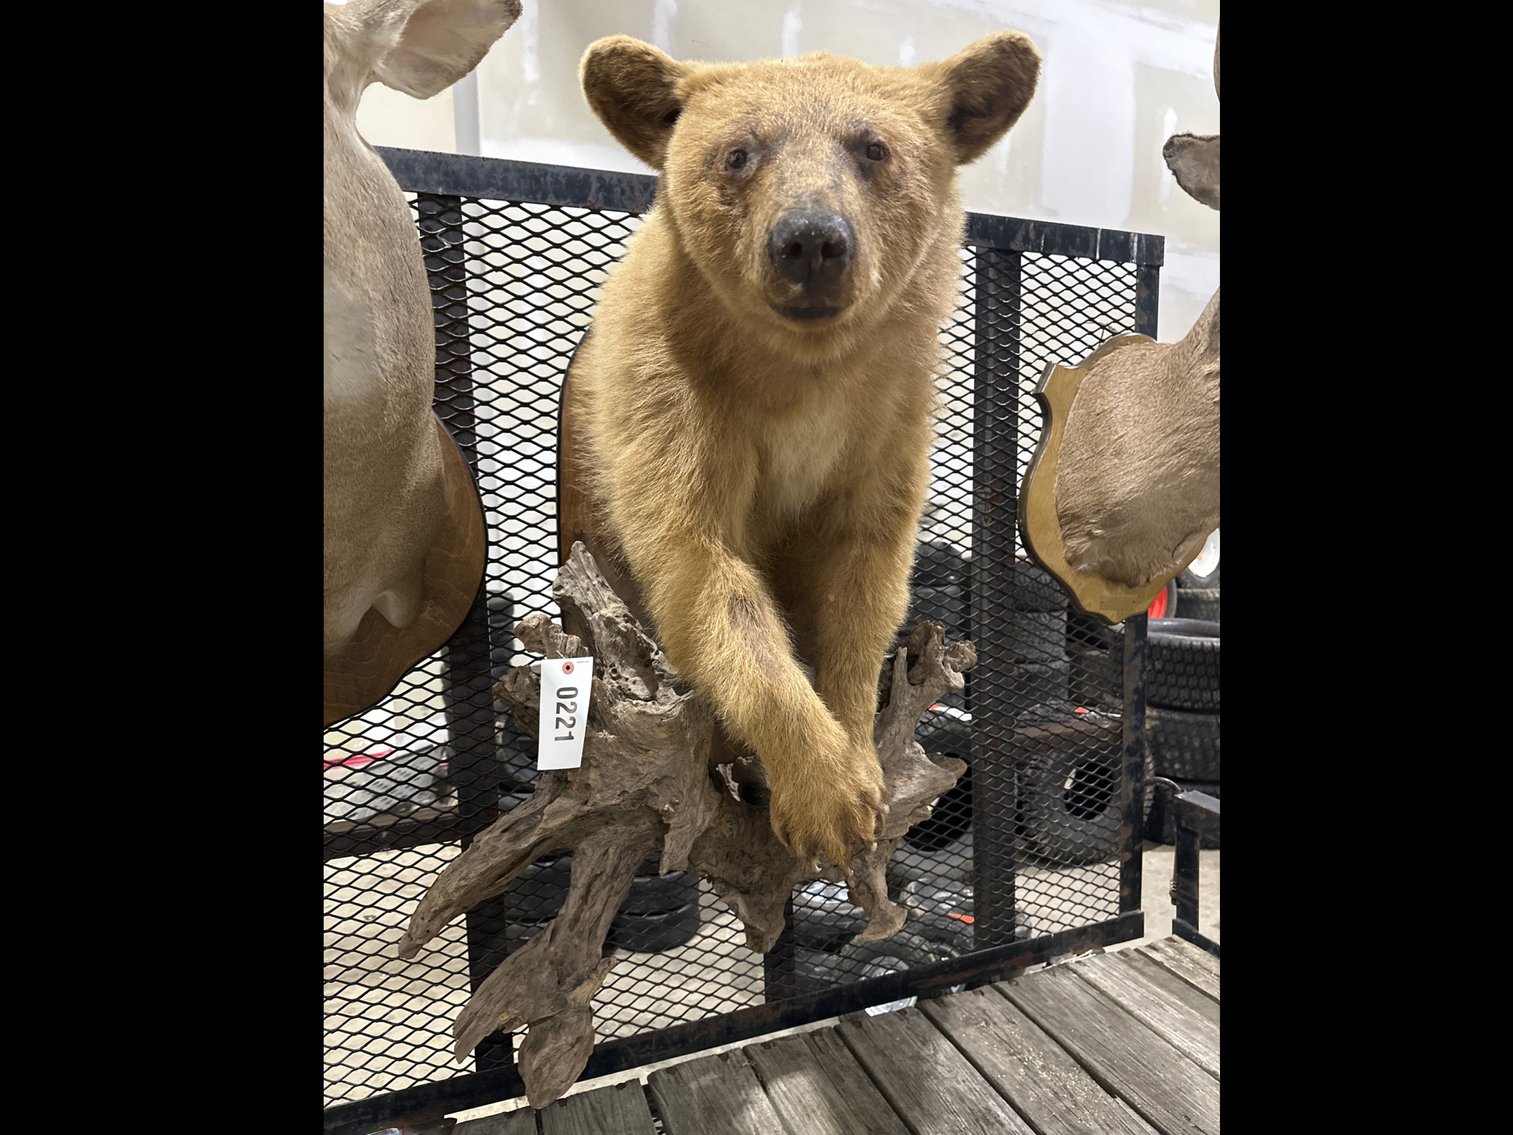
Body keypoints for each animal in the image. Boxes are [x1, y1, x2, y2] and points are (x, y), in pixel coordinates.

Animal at [562, 32, 1041, 867]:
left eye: (873, 146)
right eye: (738, 152)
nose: (811, 239)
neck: (800, 377)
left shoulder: (885, 417)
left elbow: (864, 574)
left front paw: (858, 764)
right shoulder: (671, 393)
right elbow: (703, 568)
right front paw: (823, 796)